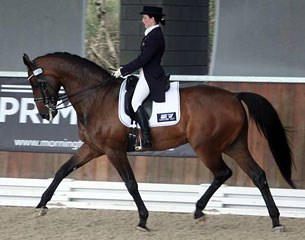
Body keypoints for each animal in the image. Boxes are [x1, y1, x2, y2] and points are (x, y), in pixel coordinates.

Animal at [23, 52, 294, 231]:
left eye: (37, 82)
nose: (45, 114)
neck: (96, 96)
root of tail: (234, 96)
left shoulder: (113, 150)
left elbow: (131, 184)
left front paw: (143, 219)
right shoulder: (93, 148)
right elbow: (62, 170)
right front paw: (41, 205)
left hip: (206, 148)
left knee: (223, 173)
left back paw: (199, 211)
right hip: (234, 145)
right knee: (258, 175)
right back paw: (275, 220)